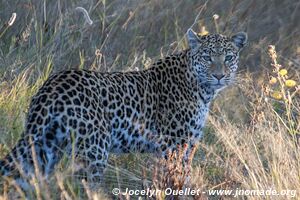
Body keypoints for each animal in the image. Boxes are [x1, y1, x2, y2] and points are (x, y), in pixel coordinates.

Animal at [0, 28, 247, 190]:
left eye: (228, 57)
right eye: (207, 57)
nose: (219, 75)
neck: (202, 90)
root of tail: (51, 86)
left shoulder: (189, 144)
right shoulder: (174, 144)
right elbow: (175, 181)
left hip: (46, 147)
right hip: (94, 150)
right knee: (83, 187)